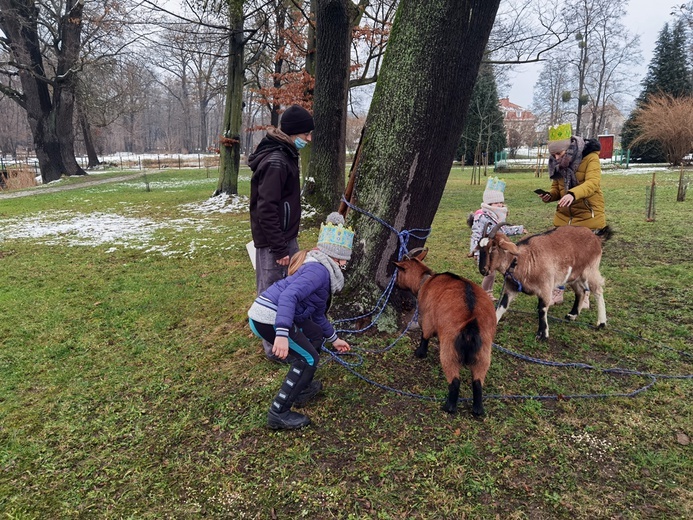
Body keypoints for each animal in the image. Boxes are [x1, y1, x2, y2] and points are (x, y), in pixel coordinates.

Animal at [392, 250, 494, 416]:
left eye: (399, 271)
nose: (394, 283)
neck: (425, 280)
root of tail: (472, 318)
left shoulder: (427, 318)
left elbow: (425, 335)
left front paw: (419, 353)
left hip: (449, 348)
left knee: (455, 381)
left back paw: (449, 407)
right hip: (484, 349)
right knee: (478, 381)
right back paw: (478, 410)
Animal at [476, 224, 612, 342]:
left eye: (493, 247)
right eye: (480, 247)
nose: (483, 270)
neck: (523, 260)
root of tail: (595, 236)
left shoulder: (545, 286)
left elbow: (542, 309)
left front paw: (543, 334)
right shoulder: (511, 288)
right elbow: (502, 306)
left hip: (590, 270)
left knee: (598, 291)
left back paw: (601, 322)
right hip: (573, 275)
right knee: (581, 291)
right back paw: (572, 315)